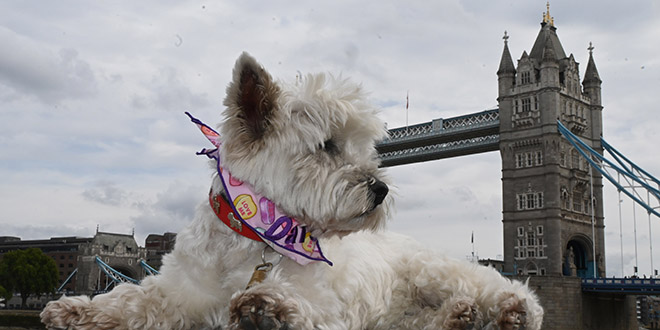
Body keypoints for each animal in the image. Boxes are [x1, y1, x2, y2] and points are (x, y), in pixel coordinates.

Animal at [40, 52, 540, 328]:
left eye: (367, 147)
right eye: (327, 145)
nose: (380, 190)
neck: (253, 235)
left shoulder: (331, 304)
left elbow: (306, 308)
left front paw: (269, 310)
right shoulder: (180, 289)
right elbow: (131, 299)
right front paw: (74, 311)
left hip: (433, 271)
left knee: (509, 290)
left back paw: (508, 311)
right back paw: (457, 317)